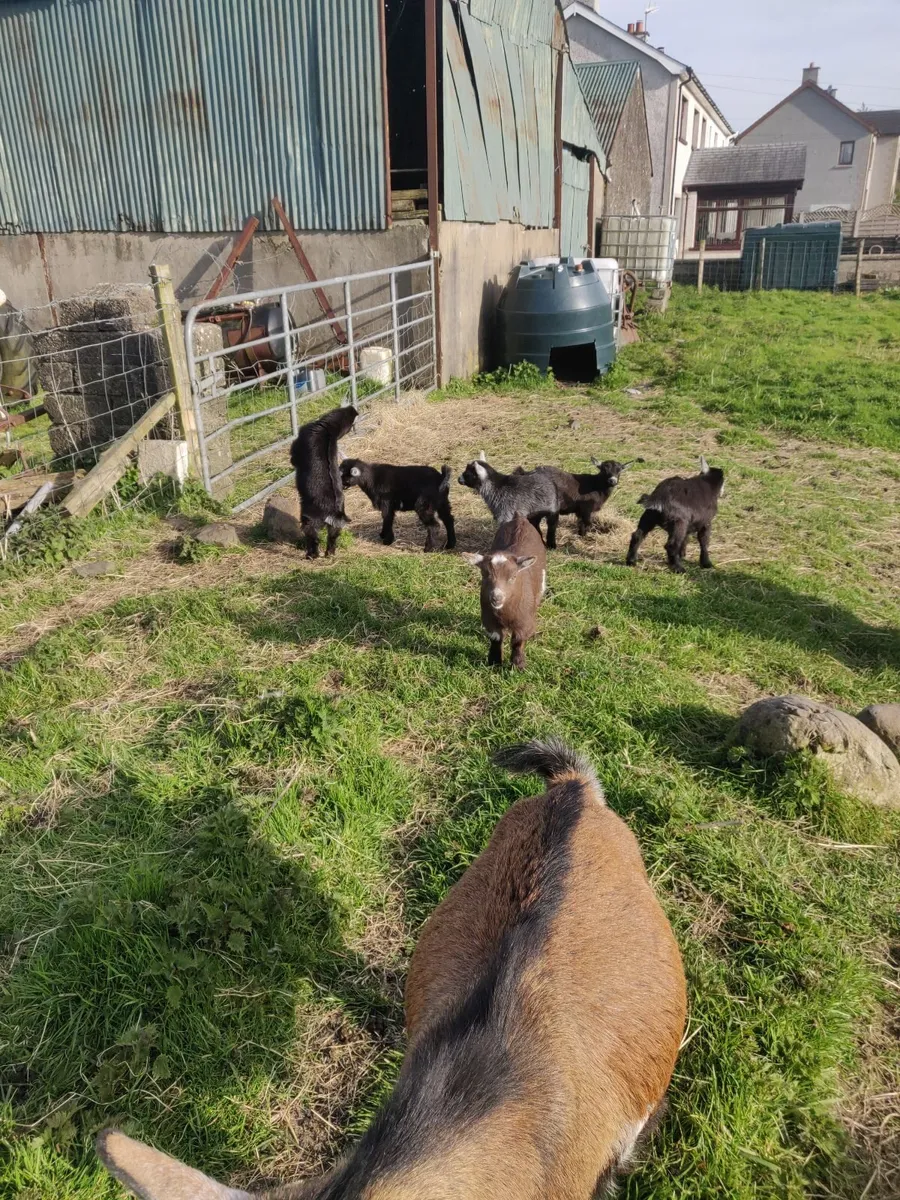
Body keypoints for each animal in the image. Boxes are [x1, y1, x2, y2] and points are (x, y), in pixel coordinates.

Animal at [289, 405, 358, 559]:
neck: (327, 429)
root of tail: (334, 511)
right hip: (335, 525)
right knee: (332, 537)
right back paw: (330, 554)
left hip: (309, 519)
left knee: (313, 537)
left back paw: (311, 555)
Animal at [463, 514, 546, 669]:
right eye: (484, 575)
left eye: (513, 577)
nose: (496, 597)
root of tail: (520, 518)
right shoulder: (489, 618)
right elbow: (496, 638)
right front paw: (494, 662)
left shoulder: (524, 620)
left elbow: (518, 641)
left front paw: (518, 666)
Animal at [514, 457, 643, 549]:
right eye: (604, 469)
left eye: (619, 470)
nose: (612, 481)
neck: (596, 485)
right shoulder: (586, 508)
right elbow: (587, 523)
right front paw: (584, 537)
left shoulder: (580, 511)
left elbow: (581, 523)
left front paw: (580, 536)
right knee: (549, 524)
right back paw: (551, 545)